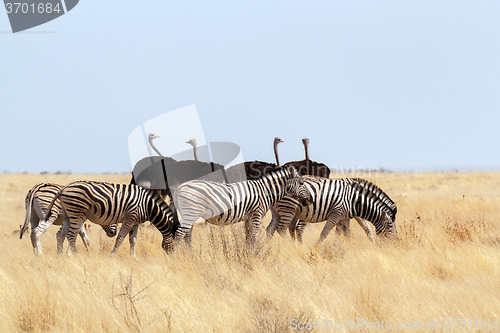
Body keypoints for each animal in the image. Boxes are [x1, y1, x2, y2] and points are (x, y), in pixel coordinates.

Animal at [45, 182, 177, 254]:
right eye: (177, 242)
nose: (175, 258)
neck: (147, 205)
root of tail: (64, 188)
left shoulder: (136, 222)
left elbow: (133, 240)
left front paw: (133, 258)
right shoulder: (130, 218)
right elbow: (120, 239)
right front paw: (112, 256)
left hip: (68, 215)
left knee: (61, 235)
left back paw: (60, 256)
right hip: (77, 213)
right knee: (71, 236)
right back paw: (76, 256)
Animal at [174, 165, 310, 243]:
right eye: (302, 183)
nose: (309, 200)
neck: (264, 191)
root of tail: (180, 187)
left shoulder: (248, 218)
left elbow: (248, 238)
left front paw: (247, 254)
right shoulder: (256, 215)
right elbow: (254, 237)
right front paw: (255, 255)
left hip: (191, 214)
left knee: (187, 236)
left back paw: (190, 255)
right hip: (191, 212)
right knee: (179, 235)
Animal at [270, 176, 398, 244]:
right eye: (390, 225)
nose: (397, 242)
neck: (355, 199)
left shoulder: (344, 216)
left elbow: (345, 231)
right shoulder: (339, 213)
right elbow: (326, 232)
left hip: (282, 212)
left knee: (272, 228)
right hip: (289, 210)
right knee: (285, 228)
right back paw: (293, 246)